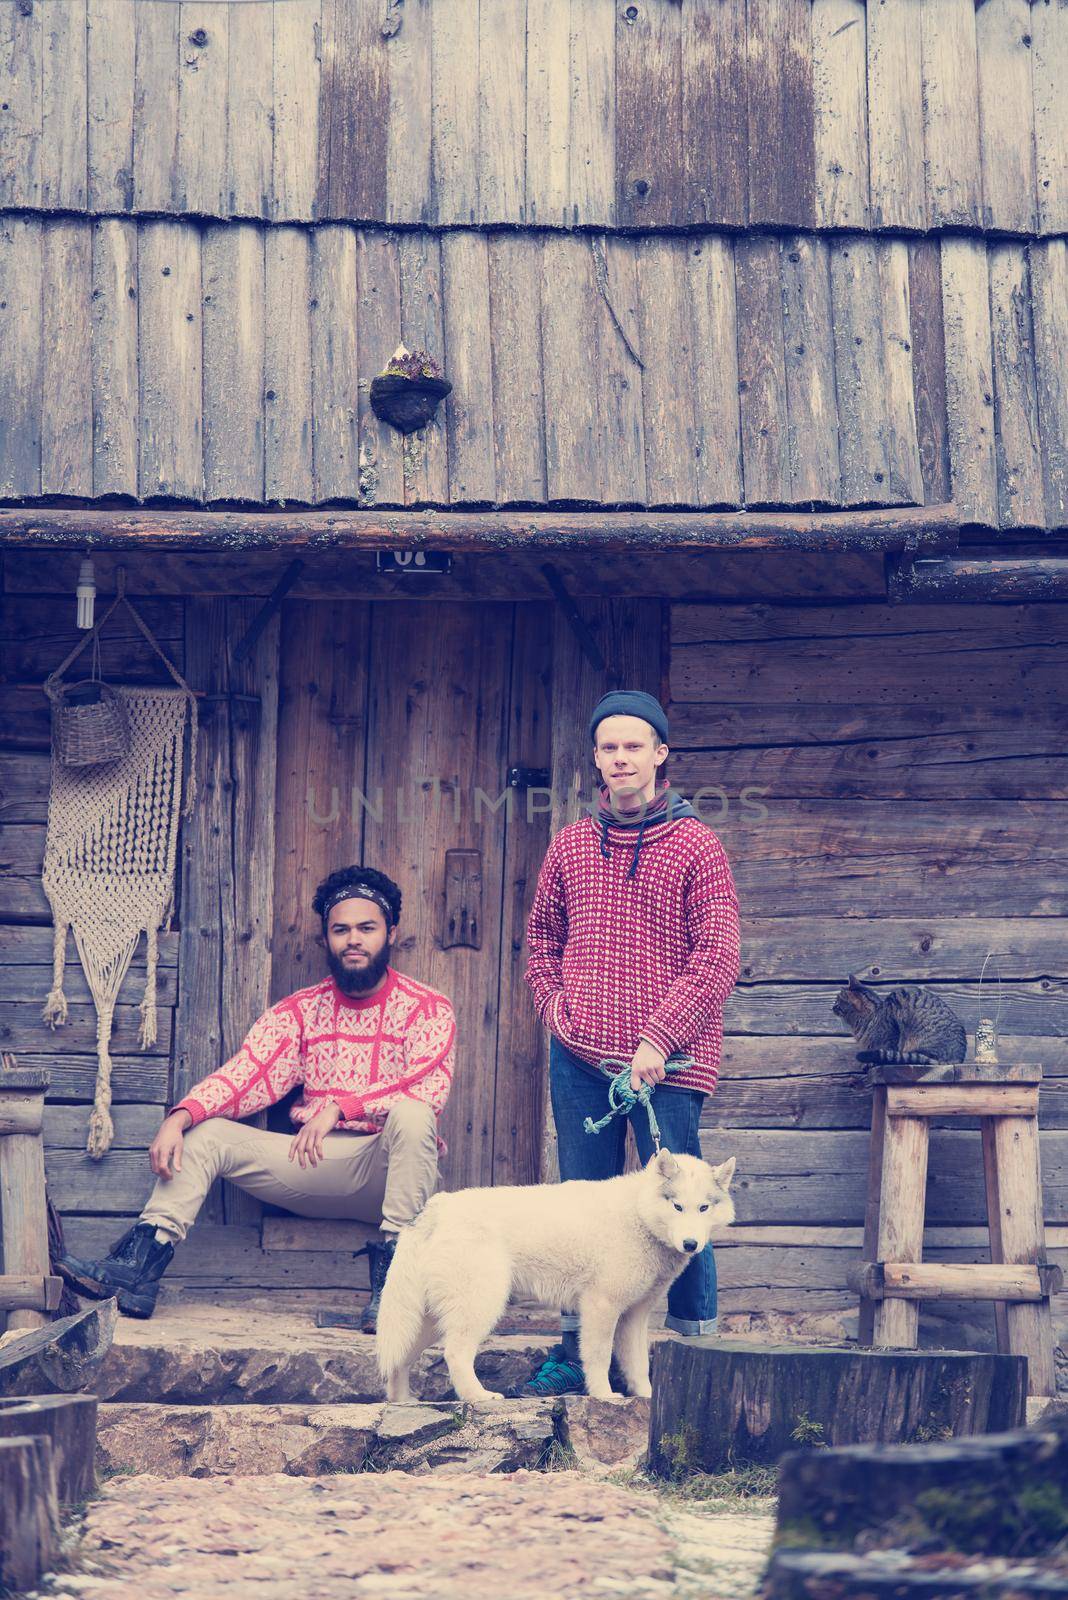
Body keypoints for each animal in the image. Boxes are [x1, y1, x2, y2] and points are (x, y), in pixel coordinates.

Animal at [375, 1152, 735, 1401]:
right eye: (677, 1207)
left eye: (703, 1208)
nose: (691, 1244)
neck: (638, 1213)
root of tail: (437, 1207)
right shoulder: (601, 1307)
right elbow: (599, 1357)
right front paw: (604, 1395)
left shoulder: (634, 1316)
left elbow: (636, 1364)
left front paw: (645, 1397)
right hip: (478, 1308)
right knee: (455, 1355)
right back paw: (478, 1396)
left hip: (427, 1321)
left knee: (399, 1360)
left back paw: (402, 1401)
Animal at [831, 966, 972, 1068]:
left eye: (837, 1003)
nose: (831, 1007)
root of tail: (958, 1057)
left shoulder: (890, 1038)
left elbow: (884, 1051)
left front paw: (872, 1063)